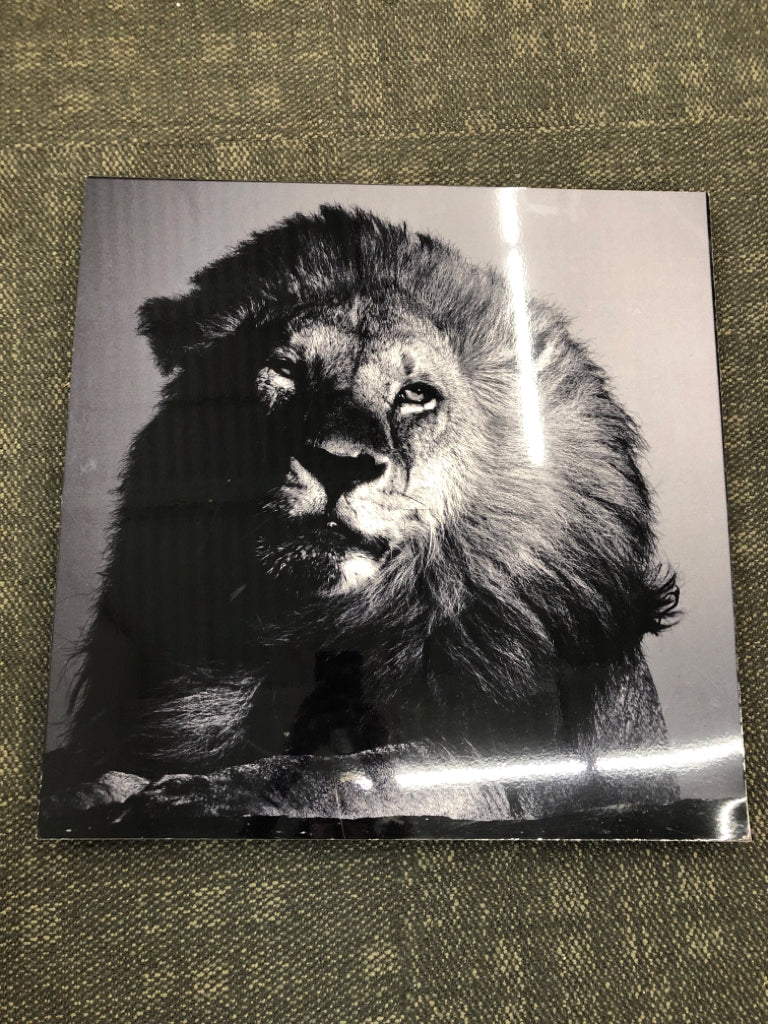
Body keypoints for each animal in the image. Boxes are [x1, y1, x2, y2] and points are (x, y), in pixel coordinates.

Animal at [47, 204, 679, 829]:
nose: (338, 464)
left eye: (416, 394)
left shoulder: (513, 776)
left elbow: (344, 770)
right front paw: (94, 788)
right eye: (286, 370)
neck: (314, 626)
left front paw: (202, 793)